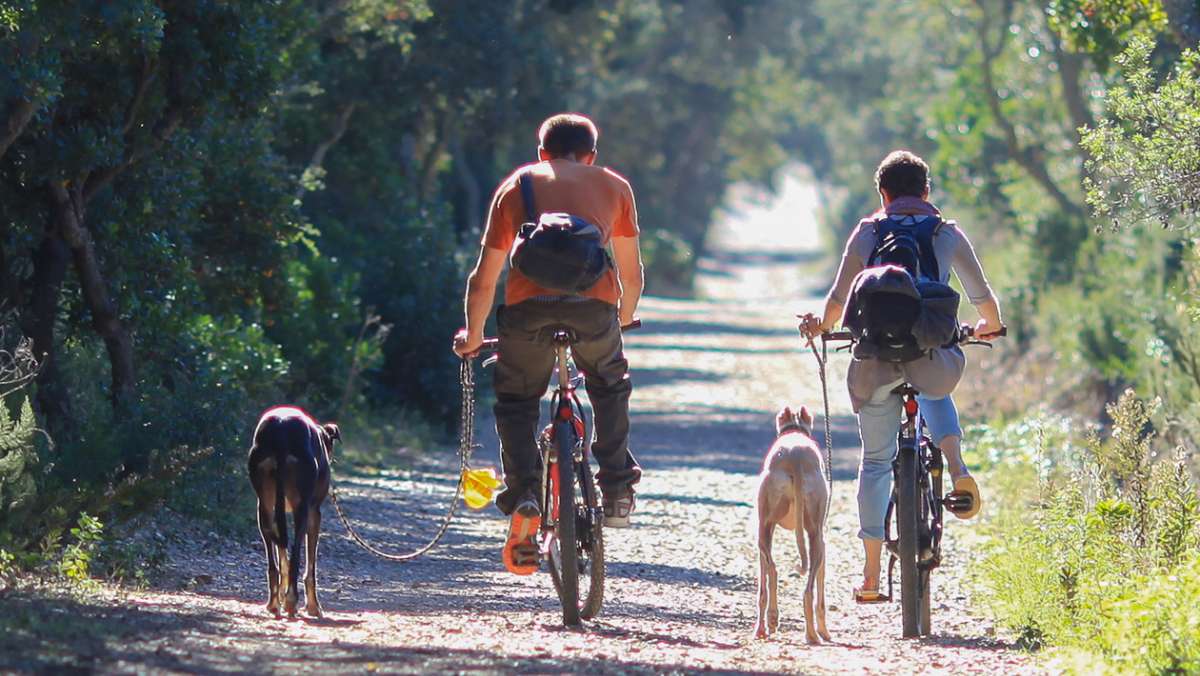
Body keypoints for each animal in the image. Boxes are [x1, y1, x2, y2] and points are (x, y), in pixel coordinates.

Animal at [244, 408, 336, 619]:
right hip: (302, 510)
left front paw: (282, 595)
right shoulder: (314, 513)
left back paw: (273, 603)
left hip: (264, 507)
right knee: (295, 557)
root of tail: (281, 432)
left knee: (274, 563)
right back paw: (292, 601)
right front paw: (313, 606)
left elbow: (282, 558)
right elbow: (310, 565)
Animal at [753, 405, 830, 643]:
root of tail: (795, 455)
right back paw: (812, 634)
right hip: (814, 536)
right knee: (807, 590)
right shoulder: (823, 543)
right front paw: (825, 631)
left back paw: (767, 624)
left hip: (763, 529)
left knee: (770, 571)